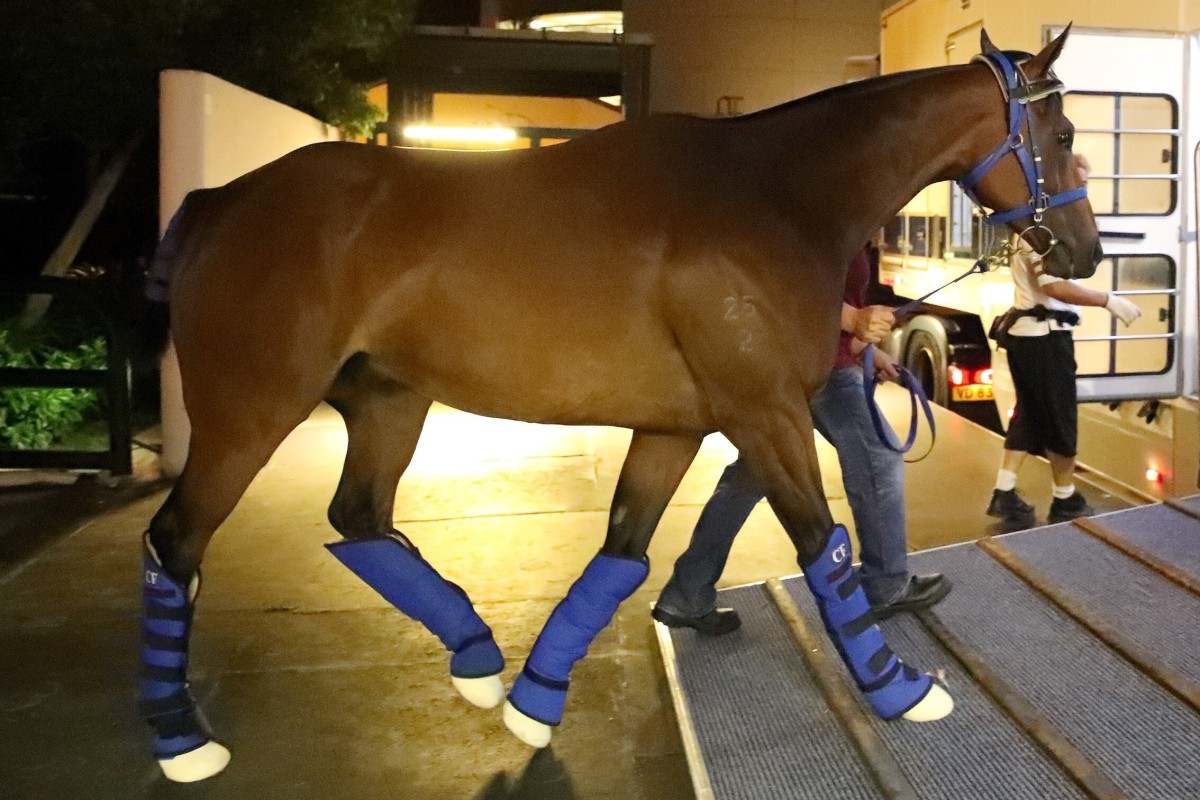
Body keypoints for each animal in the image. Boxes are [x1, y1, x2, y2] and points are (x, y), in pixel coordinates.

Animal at [139, 27, 1100, 782]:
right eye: (1061, 130)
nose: (1085, 252)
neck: (776, 196)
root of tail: (219, 201)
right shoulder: (765, 414)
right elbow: (821, 544)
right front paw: (898, 688)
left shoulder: (677, 427)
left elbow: (623, 553)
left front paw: (536, 699)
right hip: (249, 415)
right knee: (176, 543)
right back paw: (180, 738)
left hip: (387, 403)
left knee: (361, 520)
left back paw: (478, 659)